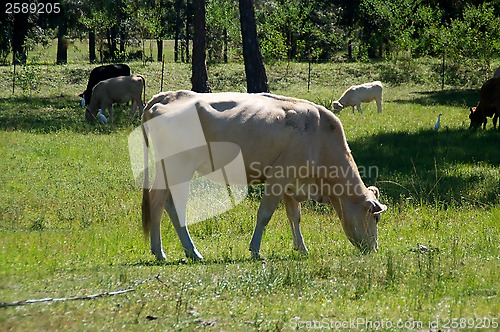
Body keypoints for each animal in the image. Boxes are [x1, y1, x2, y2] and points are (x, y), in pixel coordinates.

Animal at [139, 91, 388, 262]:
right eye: (375, 217)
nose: (374, 249)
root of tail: (166, 96)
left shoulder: (291, 184)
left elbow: (294, 216)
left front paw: (301, 248)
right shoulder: (278, 178)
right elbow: (264, 215)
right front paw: (256, 250)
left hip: (170, 168)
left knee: (169, 204)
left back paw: (189, 252)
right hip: (177, 165)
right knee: (159, 201)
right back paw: (163, 252)